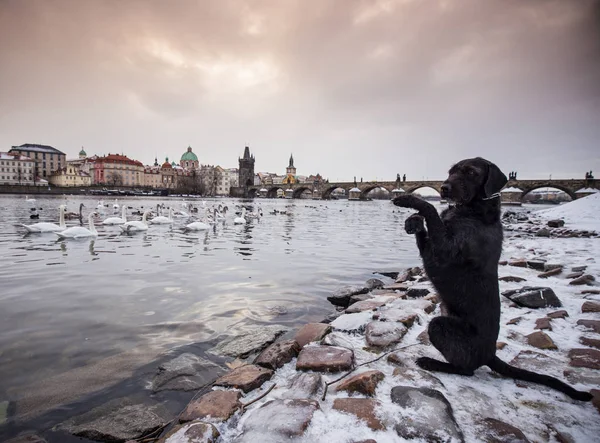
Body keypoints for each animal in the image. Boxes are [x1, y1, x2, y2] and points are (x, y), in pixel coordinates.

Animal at [392, 159, 592, 402]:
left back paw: (432, 363)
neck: (473, 210)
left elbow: (430, 210)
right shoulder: (431, 249)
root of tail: (490, 354)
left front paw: (410, 200)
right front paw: (413, 221)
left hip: (440, 326)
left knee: (466, 369)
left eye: (471, 172)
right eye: (451, 171)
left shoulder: (443, 250)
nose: (444, 187)